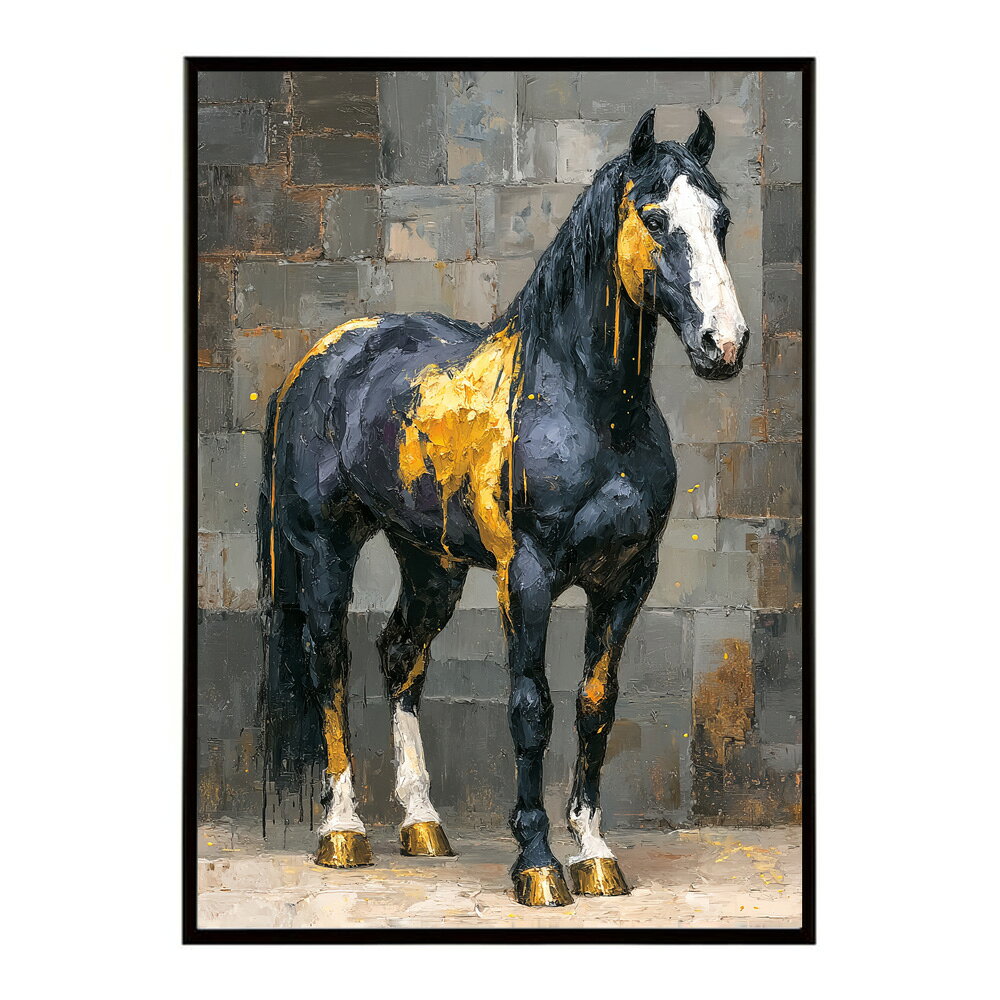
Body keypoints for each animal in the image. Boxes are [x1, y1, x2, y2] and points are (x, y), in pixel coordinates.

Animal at [258, 106, 749, 906]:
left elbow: (595, 706)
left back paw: (422, 824)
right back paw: (344, 831)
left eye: (722, 219)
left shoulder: (627, 582)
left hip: (431, 564)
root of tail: (320, 359)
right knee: (327, 663)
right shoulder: (528, 577)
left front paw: (595, 854)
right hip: (325, 550)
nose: (725, 344)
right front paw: (539, 863)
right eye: (655, 217)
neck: (589, 408)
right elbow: (531, 708)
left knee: (400, 657)